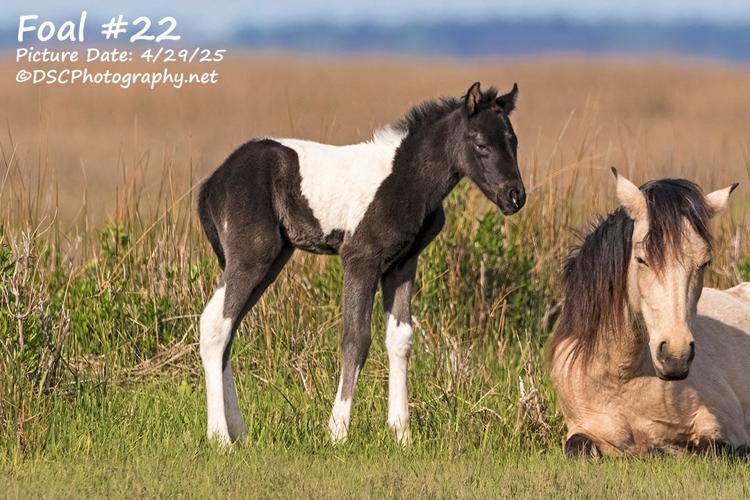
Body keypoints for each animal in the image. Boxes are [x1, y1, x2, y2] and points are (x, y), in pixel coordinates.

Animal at [197, 82, 526, 445]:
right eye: (481, 144)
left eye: (513, 141)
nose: (515, 197)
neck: (405, 177)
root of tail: (212, 184)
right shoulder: (360, 259)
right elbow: (356, 340)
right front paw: (337, 431)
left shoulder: (402, 264)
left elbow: (400, 340)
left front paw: (402, 433)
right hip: (251, 256)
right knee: (216, 326)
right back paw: (220, 437)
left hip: (271, 262)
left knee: (228, 328)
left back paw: (238, 433)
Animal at [549, 168, 749, 457]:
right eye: (641, 259)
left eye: (704, 263)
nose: (676, 356)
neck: (623, 379)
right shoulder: (581, 430)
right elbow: (578, 446)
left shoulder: (723, 425)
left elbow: (709, 448)